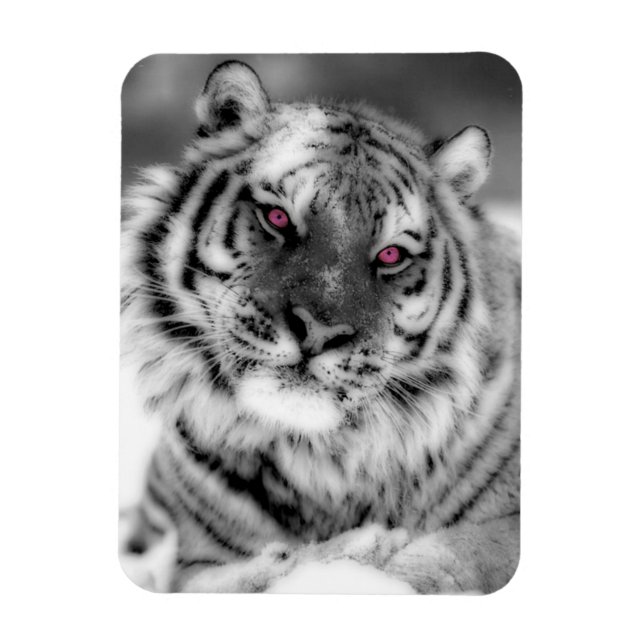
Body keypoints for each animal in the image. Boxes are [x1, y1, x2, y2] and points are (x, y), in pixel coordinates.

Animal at [120, 59, 521, 594]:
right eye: (276, 216)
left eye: (391, 255)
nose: (319, 332)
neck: (318, 469)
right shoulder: (193, 559)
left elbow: (453, 554)